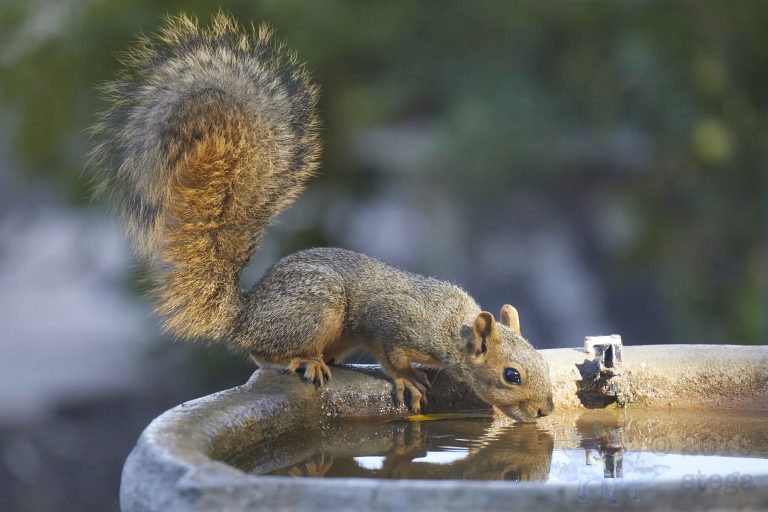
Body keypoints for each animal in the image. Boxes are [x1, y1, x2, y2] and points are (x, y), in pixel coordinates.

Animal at [90, 13, 554, 421]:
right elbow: (391, 358)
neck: (448, 329)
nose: (545, 410)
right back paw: (305, 361)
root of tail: (244, 316)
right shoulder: (391, 325)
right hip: (317, 307)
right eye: (511, 375)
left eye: (542, 364)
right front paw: (407, 380)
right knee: (266, 354)